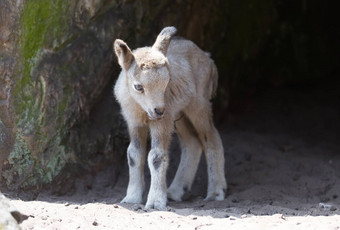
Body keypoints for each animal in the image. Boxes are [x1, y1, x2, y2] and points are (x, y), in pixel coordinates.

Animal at [113, 26, 227, 209]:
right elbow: (134, 154)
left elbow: (156, 156)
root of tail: (209, 59)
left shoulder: (161, 123)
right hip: (177, 114)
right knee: (192, 143)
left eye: (167, 82)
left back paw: (216, 192)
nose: (158, 110)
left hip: (198, 104)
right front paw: (131, 198)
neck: (143, 111)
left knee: (211, 138)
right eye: (138, 87)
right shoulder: (134, 121)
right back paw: (176, 191)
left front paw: (155, 202)